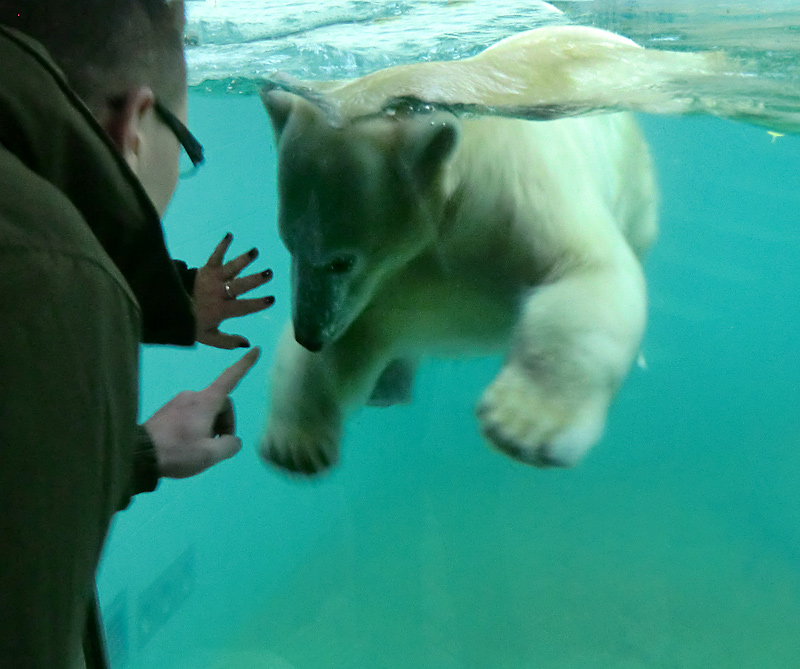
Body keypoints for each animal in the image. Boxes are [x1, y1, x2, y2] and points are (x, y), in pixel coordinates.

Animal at [260, 28, 660, 474]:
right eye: (288, 242)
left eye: (341, 261)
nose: (309, 334)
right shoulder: (392, 282)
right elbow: (348, 347)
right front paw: (296, 446)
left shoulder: (518, 202)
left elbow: (588, 275)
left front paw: (520, 423)